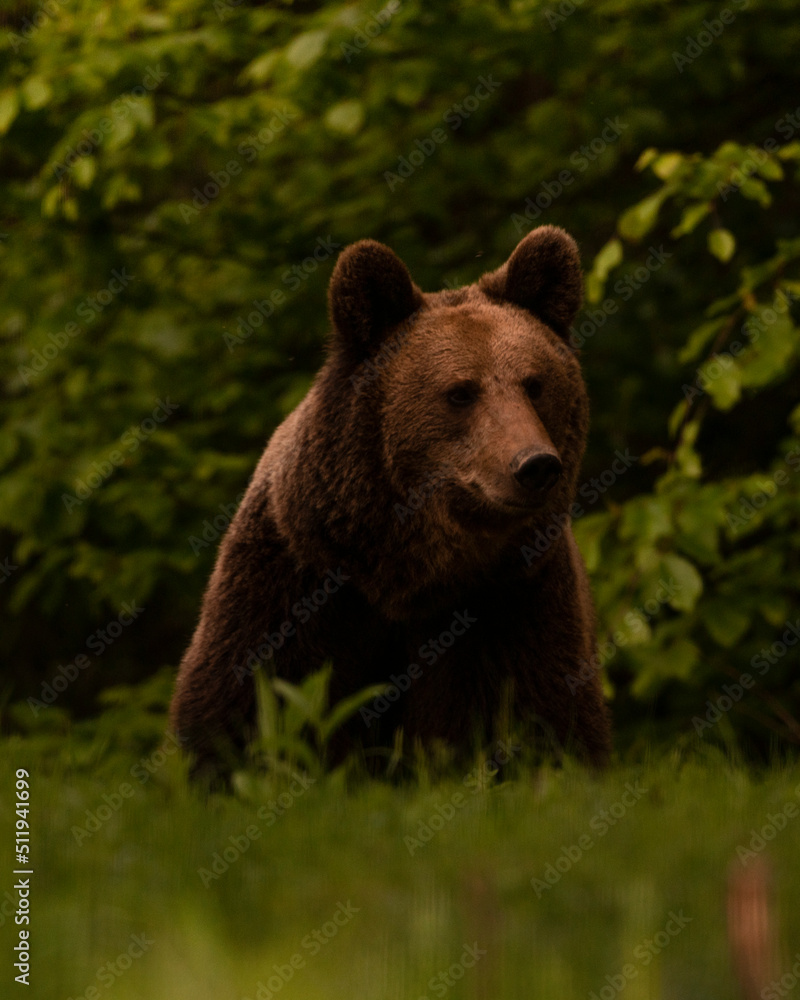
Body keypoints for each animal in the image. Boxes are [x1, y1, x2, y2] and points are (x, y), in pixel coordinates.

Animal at [170, 224, 612, 779]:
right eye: (461, 392)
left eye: (534, 384)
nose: (535, 466)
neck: (408, 572)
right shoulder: (295, 583)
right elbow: (239, 706)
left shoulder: (517, 601)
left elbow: (551, 719)